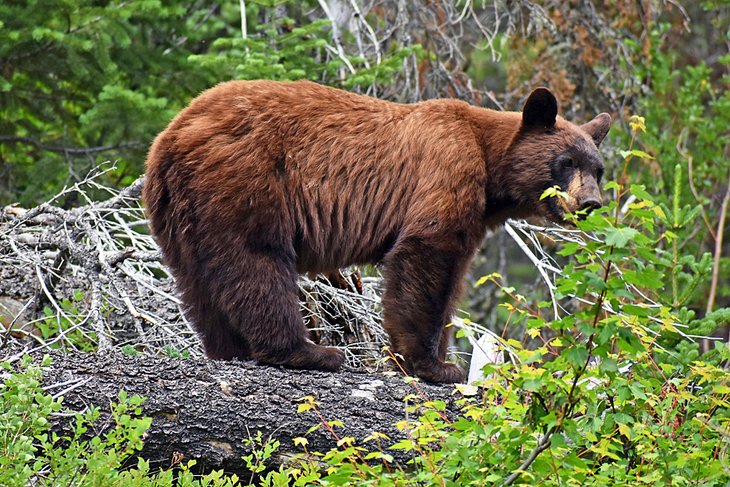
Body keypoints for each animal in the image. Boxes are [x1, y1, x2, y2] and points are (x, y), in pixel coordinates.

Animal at [142, 81, 608, 386]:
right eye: (566, 162)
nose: (591, 203)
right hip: (245, 179)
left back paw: (230, 350)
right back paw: (309, 352)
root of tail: (173, 136)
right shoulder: (448, 168)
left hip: (178, 211)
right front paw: (433, 365)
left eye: (598, 168)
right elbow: (426, 254)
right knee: (256, 262)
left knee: (198, 283)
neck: (490, 165)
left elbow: (452, 275)